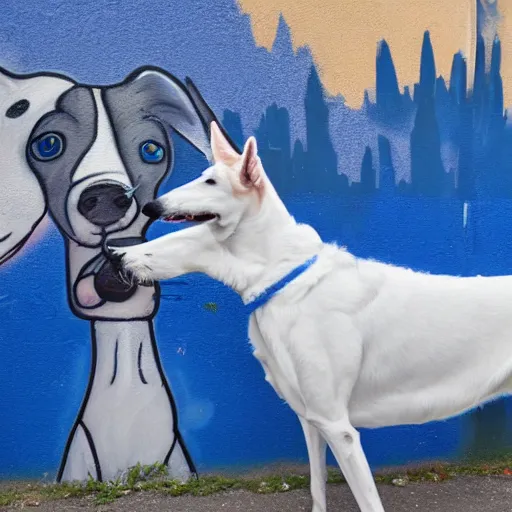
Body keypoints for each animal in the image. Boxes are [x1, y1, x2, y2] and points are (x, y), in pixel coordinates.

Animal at [109, 121, 512, 512]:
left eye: (211, 182)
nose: (149, 205)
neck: (282, 276)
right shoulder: (311, 420)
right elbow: (318, 489)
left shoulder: (338, 426)